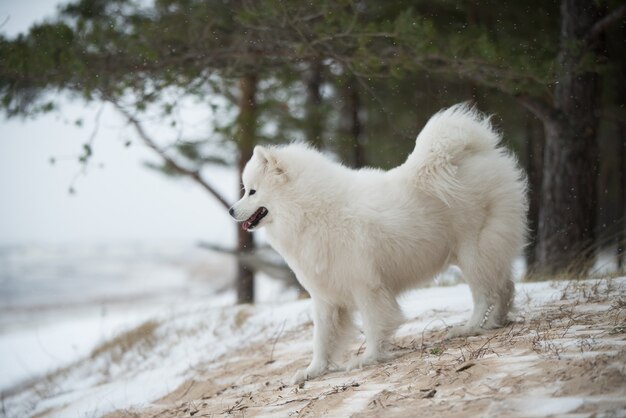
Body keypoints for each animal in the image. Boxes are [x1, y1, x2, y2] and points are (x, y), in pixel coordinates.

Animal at [229, 103, 528, 382]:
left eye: (251, 191)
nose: (231, 211)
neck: (311, 209)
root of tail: (478, 152)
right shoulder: (325, 295)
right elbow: (322, 338)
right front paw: (313, 371)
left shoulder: (367, 286)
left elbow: (374, 324)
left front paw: (368, 358)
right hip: (485, 251)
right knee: (505, 287)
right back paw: (496, 322)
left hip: (472, 251)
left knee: (484, 293)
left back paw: (471, 327)